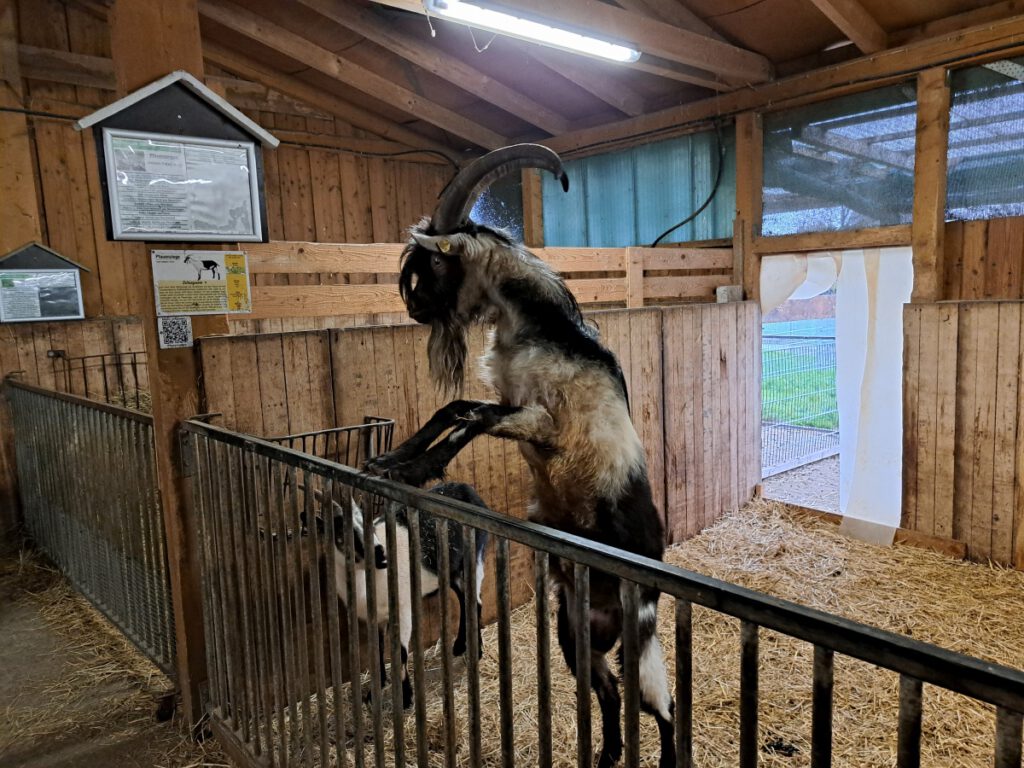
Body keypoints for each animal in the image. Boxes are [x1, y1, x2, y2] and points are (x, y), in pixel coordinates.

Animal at [313, 483, 489, 712]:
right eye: (341, 535)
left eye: (370, 526)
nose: (381, 555)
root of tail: (465, 488)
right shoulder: (374, 617)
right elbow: (377, 650)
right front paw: (375, 690)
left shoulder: (403, 608)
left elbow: (401, 652)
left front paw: (406, 698)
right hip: (450, 570)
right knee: (464, 598)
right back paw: (459, 646)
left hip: (473, 558)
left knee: (475, 601)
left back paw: (476, 651)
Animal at [364, 144, 675, 768]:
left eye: (430, 269)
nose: (411, 310)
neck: (542, 330)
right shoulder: (512, 403)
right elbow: (455, 408)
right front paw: (394, 461)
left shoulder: (541, 422)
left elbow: (473, 421)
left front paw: (414, 469)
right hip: (576, 632)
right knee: (609, 693)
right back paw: (607, 754)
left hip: (639, 630)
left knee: (662, 706)